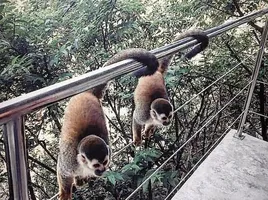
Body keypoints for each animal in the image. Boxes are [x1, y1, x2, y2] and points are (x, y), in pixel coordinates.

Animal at [57, 47, 159, 199]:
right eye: (96, 165)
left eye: (105, 162)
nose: (102, 170)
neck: (83, 165)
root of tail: (88, 94)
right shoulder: (70, 161)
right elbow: (62, 170)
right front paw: (65, 193)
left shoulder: (108, 152)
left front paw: (83, 178)